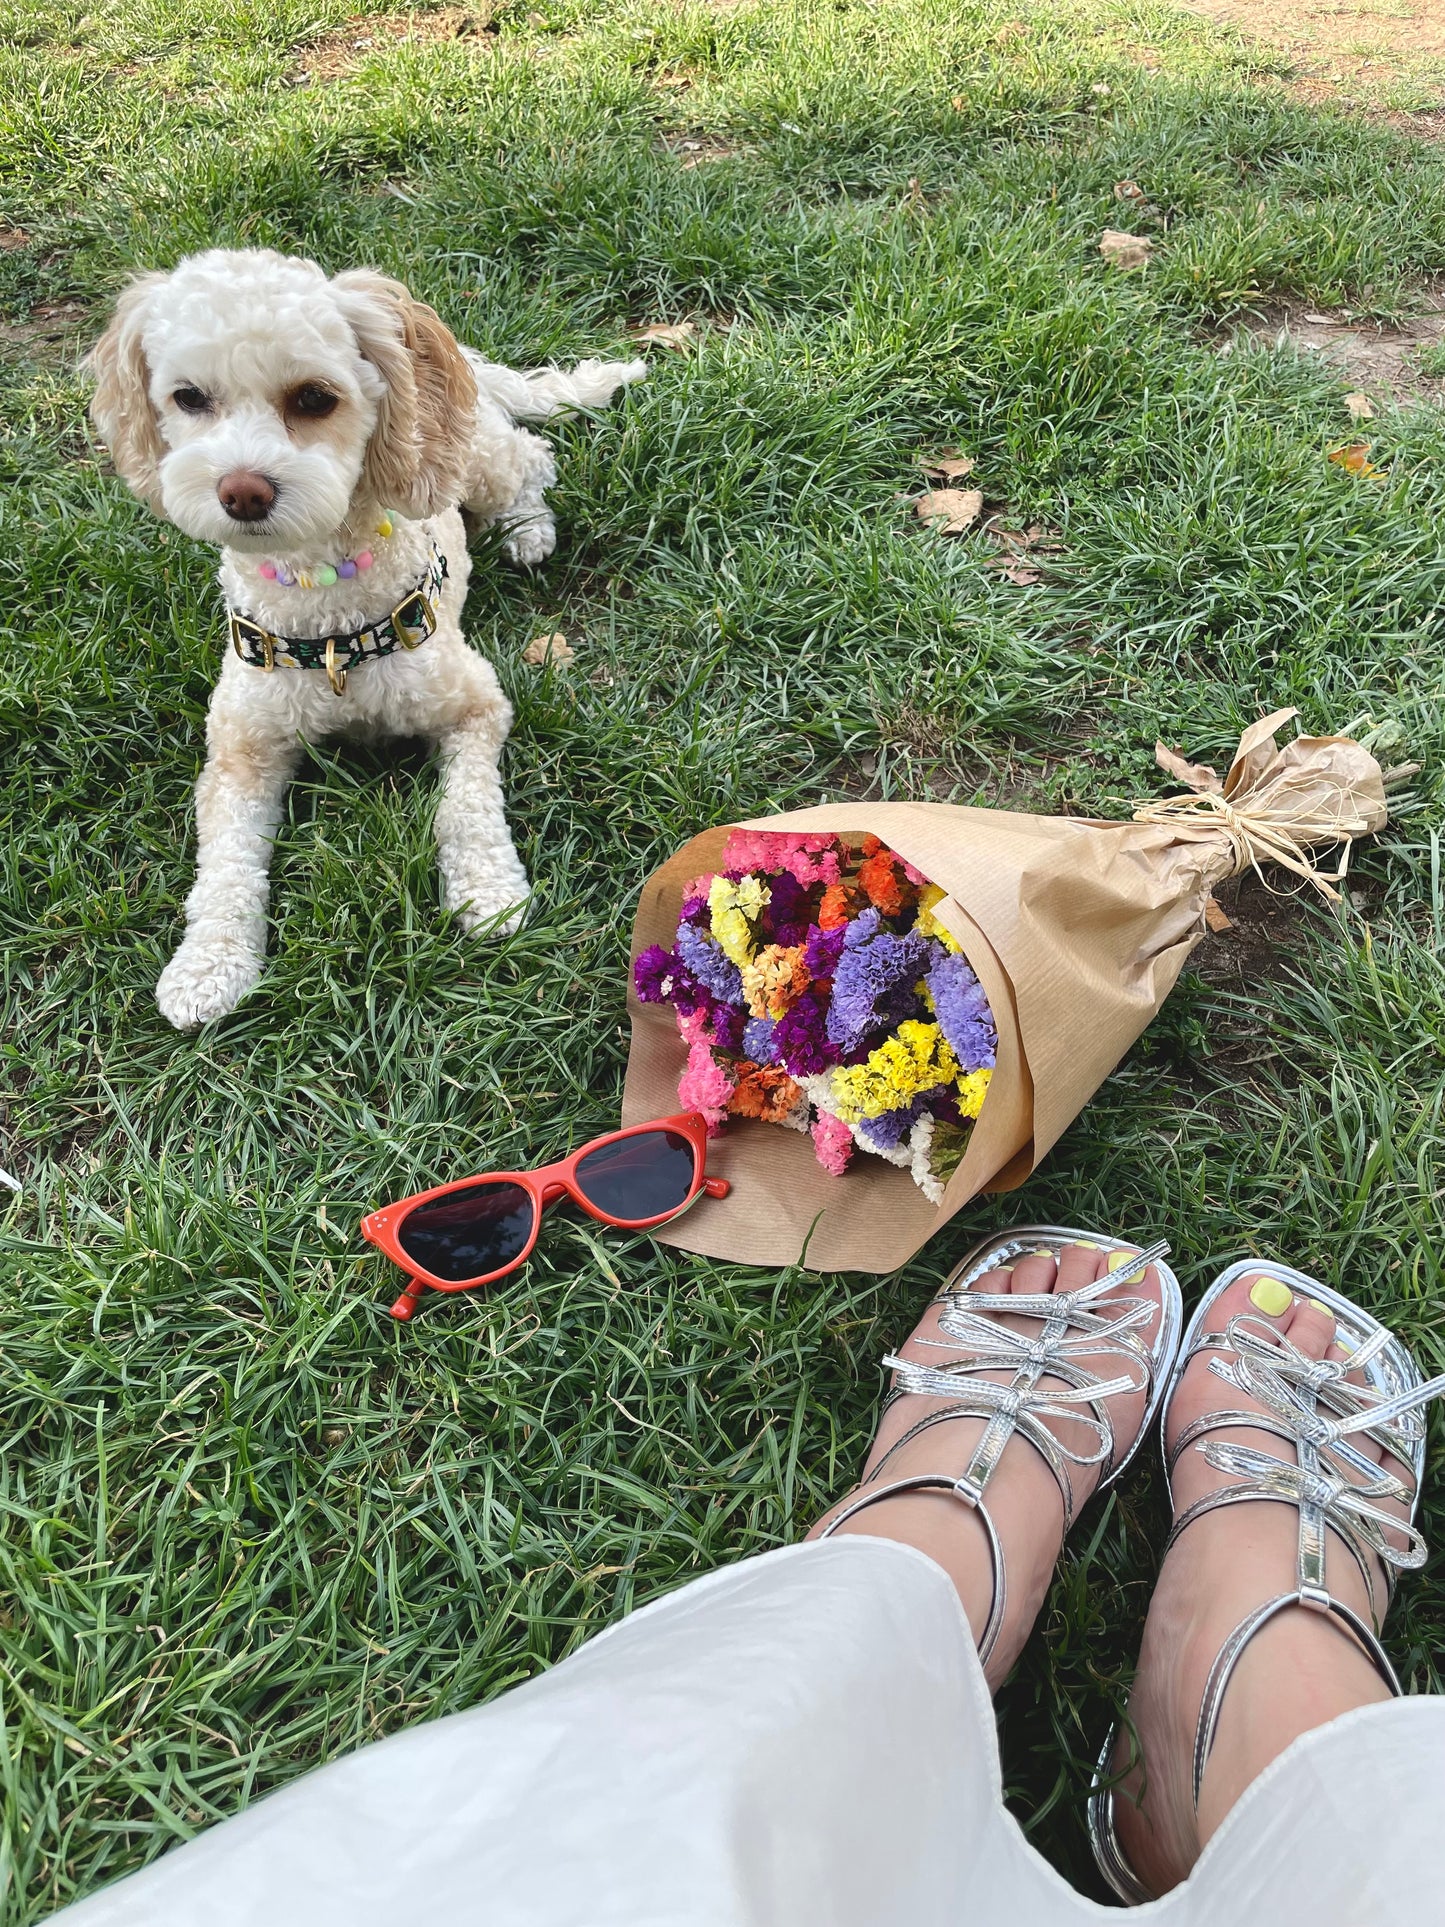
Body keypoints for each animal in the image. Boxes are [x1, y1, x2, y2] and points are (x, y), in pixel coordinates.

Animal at [83, 248, 639, 1032]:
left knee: (532, 456)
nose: (242, 491)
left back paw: (527, 529)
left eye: (315, 398)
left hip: (471, 457)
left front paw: (489, 891)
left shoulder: (476, 704)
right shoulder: (240, 751)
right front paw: (207, 964)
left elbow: (465, 807)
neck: (328, 632)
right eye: (189, 397)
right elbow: (224, 862)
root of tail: (463, 356)